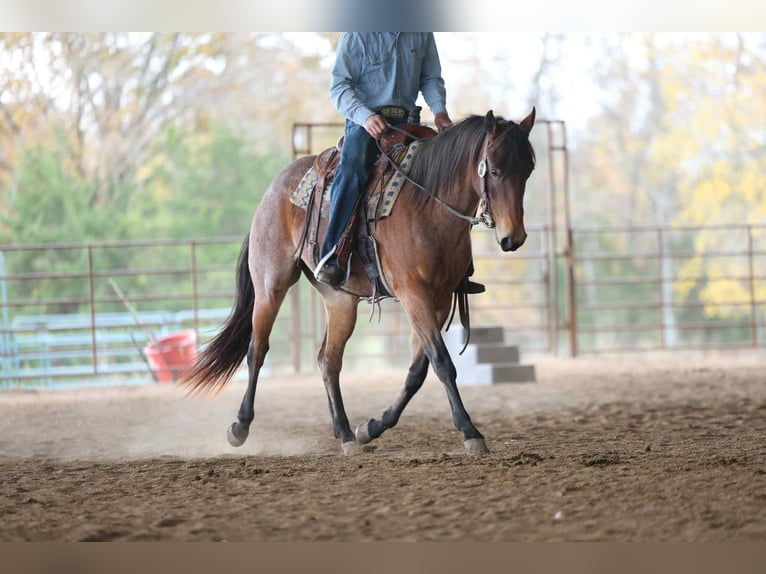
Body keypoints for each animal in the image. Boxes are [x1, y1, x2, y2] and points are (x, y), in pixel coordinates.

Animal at [181, 108, 536, 455]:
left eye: (529, 170)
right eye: (494, 170)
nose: (514, 238)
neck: (428, 206)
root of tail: (272, 191)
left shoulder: (440, 300)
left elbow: (417, 371)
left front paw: (372, 427)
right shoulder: (414, 295)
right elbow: (442, 363)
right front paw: (470, 430)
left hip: (339, 300)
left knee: (328, 360)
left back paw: (345, 433)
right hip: (271, 285)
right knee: (258, 349)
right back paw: (240, 426)